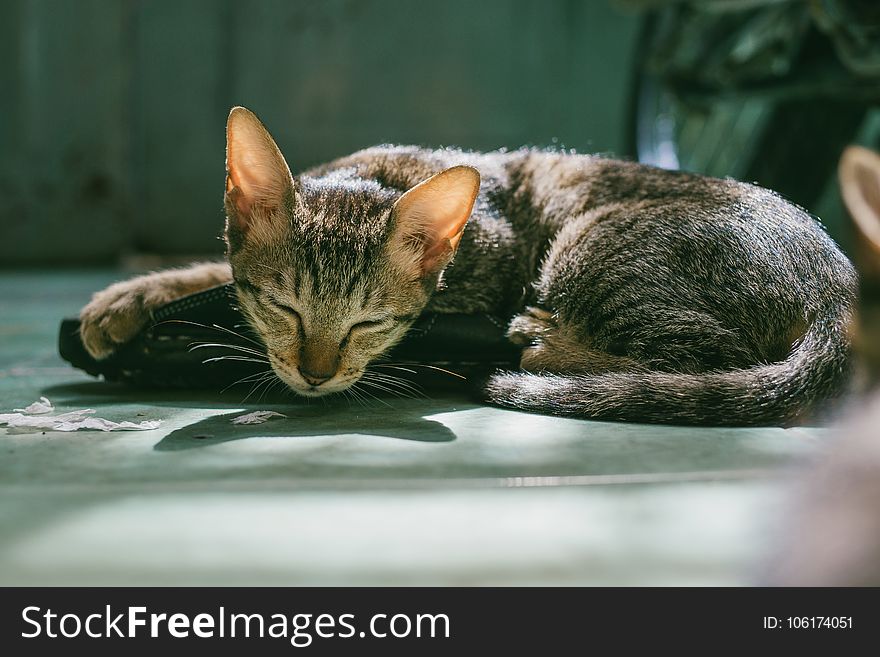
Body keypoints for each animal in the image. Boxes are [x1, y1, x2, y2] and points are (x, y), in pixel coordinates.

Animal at [79, 106, 856, 426]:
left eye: (370, 323)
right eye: (284, 306)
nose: (315, 373)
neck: (376, 176)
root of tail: (842, 291)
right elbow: (214, 268)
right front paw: (131, 295)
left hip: (592, 243)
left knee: (698, 357)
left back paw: (545, 341)